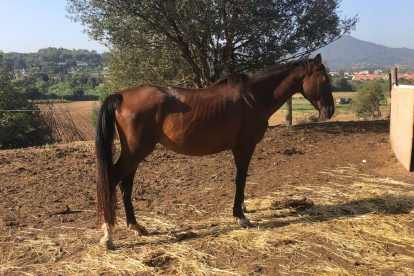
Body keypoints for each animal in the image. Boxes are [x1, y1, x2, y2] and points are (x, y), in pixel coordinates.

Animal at [96, 52, 334, 249]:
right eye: (324, 80)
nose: (330, 110)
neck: (253, 96)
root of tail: (120, 95)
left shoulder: (239, 148)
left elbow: (241, 179)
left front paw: (243, 208)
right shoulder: (245, 147)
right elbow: (240, 179)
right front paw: (240, 216)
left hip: (135, 154)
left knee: (126, 186)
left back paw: (136, 227)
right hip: (135, 152)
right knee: (112, 179)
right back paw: (108, 235)